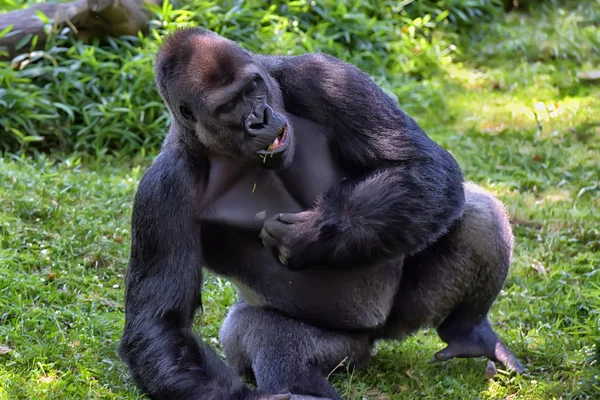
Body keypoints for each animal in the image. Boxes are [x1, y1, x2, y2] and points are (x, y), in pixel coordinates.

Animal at [118, 27, 524, 400]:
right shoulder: (164, 191)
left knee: (478, 212)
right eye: (228, 106)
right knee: (261, 333)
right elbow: (161, 324)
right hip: (339, 347)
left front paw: (310, 236)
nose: (259, 117)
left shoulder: (325, 76)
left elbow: (421, 165)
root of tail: (374, 334)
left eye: (252, 88)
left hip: (401, 314)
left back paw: (468, 330)